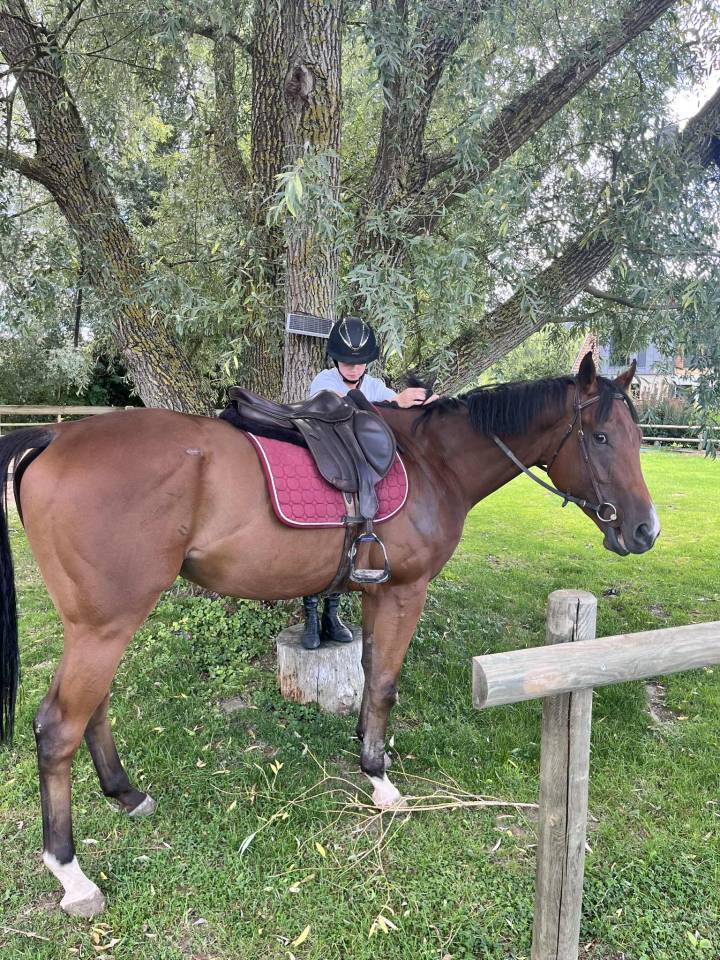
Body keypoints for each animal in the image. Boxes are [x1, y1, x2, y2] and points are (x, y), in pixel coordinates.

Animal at [0, 353, 659, 917]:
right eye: (601, 437)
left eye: (637, 438)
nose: (645, 531)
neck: (432, 460)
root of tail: (55, 437)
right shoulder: (403, 593)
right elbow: (386, 681)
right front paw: (380, 778)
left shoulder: (373, 592)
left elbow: (368, 675)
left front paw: (365, 750)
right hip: (105, 625)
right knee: (58, 726)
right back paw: (70, 872)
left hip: (98, 623)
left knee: (92, 708)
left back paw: (125, 794)